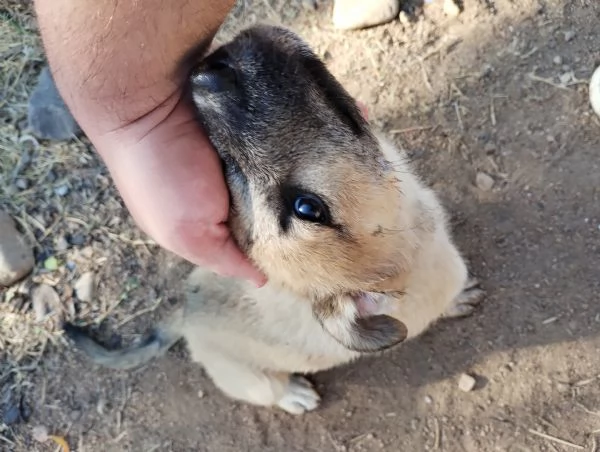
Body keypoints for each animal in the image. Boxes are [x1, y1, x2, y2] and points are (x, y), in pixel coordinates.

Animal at [65, 23, 486, 414]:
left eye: (229, 172)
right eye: (307, 208)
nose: (207, 74)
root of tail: (185, 317)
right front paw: (459, 300)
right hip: (256, 383)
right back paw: (295, 395)